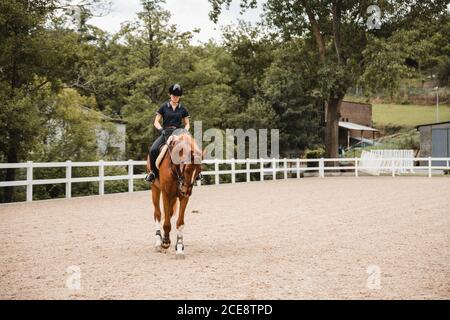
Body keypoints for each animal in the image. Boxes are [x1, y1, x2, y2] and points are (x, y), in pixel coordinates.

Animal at [148, 130, 202, 258]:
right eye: (187, 169)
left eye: (199, 170)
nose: (187, 191)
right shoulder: (166, 193)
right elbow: (166, 222)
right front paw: (165, 243)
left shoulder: (183, 197)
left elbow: (180, 222)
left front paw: (179, 247)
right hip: (155, 189)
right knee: (157, 214)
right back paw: (158, 242)